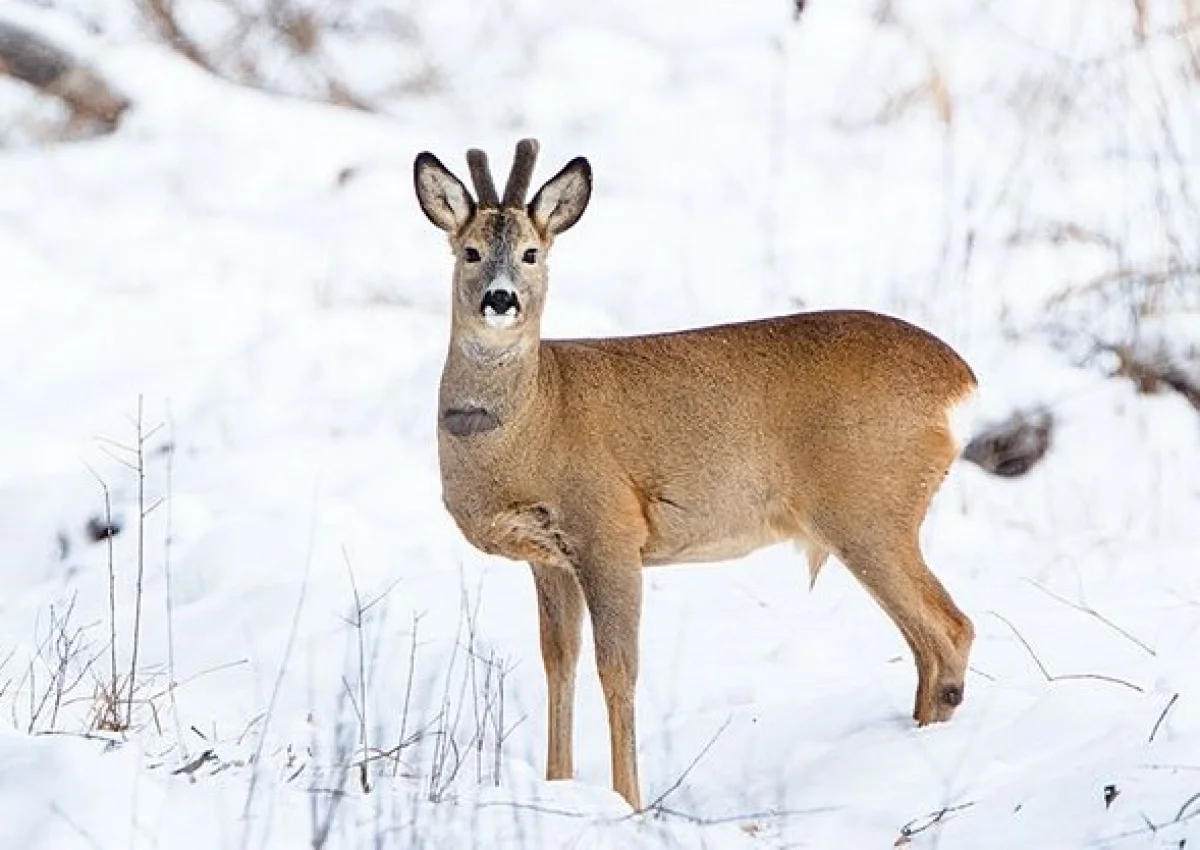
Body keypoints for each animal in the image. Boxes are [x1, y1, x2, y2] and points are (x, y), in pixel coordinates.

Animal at [412, 139, 974, 811]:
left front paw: (628, 802)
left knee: (951, 629)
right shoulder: (549, 557)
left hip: (870, 509)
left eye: (531, 252)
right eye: (470, 251)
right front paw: (559, 787)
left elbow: (617, 669)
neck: (535, 419)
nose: (501, 299)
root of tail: (960, 381)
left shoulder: (610, 530)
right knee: (926, 644)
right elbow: (558, 662)